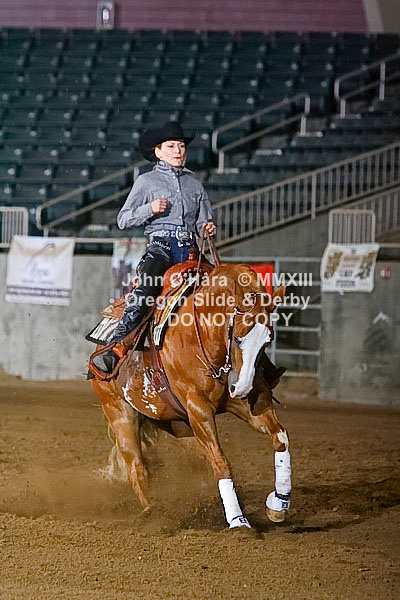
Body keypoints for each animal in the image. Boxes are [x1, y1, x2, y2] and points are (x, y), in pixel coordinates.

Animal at [90, 260, 292, 529]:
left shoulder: (251, 401)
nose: (241, 388)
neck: (205, 333)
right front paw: (238, 521)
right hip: (120, 413)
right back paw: (154, 513)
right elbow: (221, 462)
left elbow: (280, 438)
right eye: (238, 337)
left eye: (267, 341)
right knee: (137, 470)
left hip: (178, 424)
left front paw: (278, 505)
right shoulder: (199, 409)